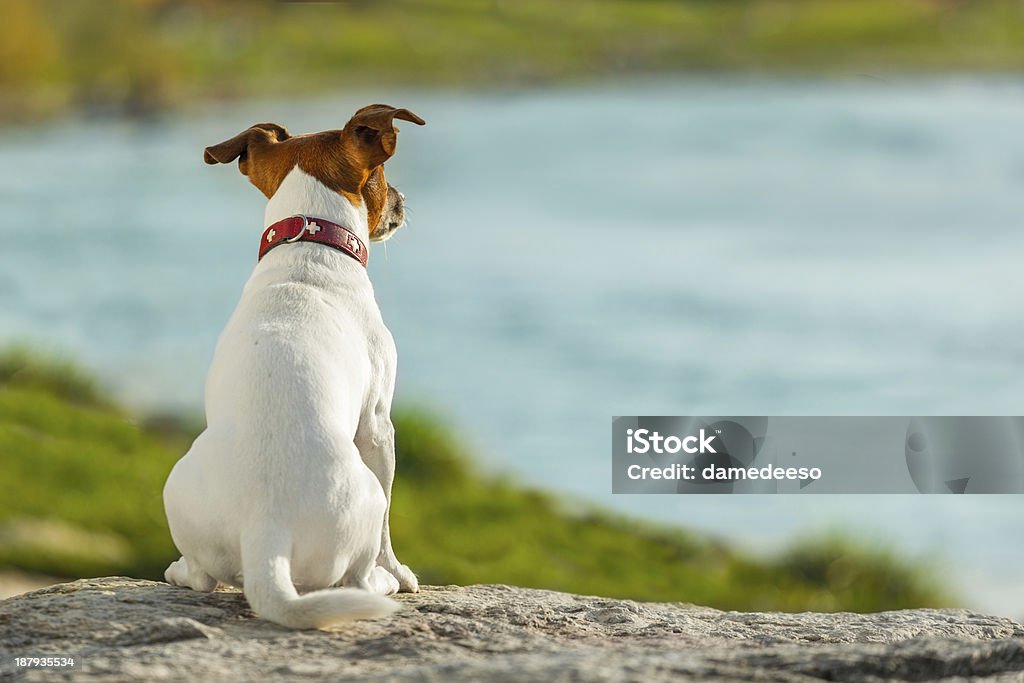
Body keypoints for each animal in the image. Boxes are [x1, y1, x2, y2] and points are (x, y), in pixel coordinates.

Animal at [162, 104, 423, 634]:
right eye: (384, 177)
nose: (404, 200)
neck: (308, 243)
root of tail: (266, 530)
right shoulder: (379, 424)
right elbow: (390, 524)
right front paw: (401, 572)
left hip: (176, 488)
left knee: (201, 575)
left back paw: (178, 570)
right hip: (363, 496)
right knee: (358, 576)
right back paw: (382, 582)